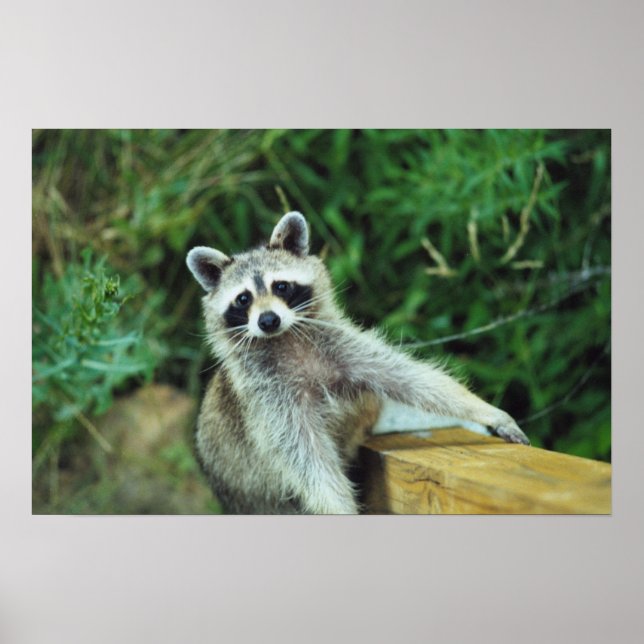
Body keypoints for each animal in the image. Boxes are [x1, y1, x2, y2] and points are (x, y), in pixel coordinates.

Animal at [187, 212, 529, 514]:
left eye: (280, 286)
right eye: (243, 298)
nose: (268, 320)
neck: (285, 338)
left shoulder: (342, 347)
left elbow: (411, 378)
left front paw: (486, 410)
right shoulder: (267, 397)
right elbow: (306, 459)